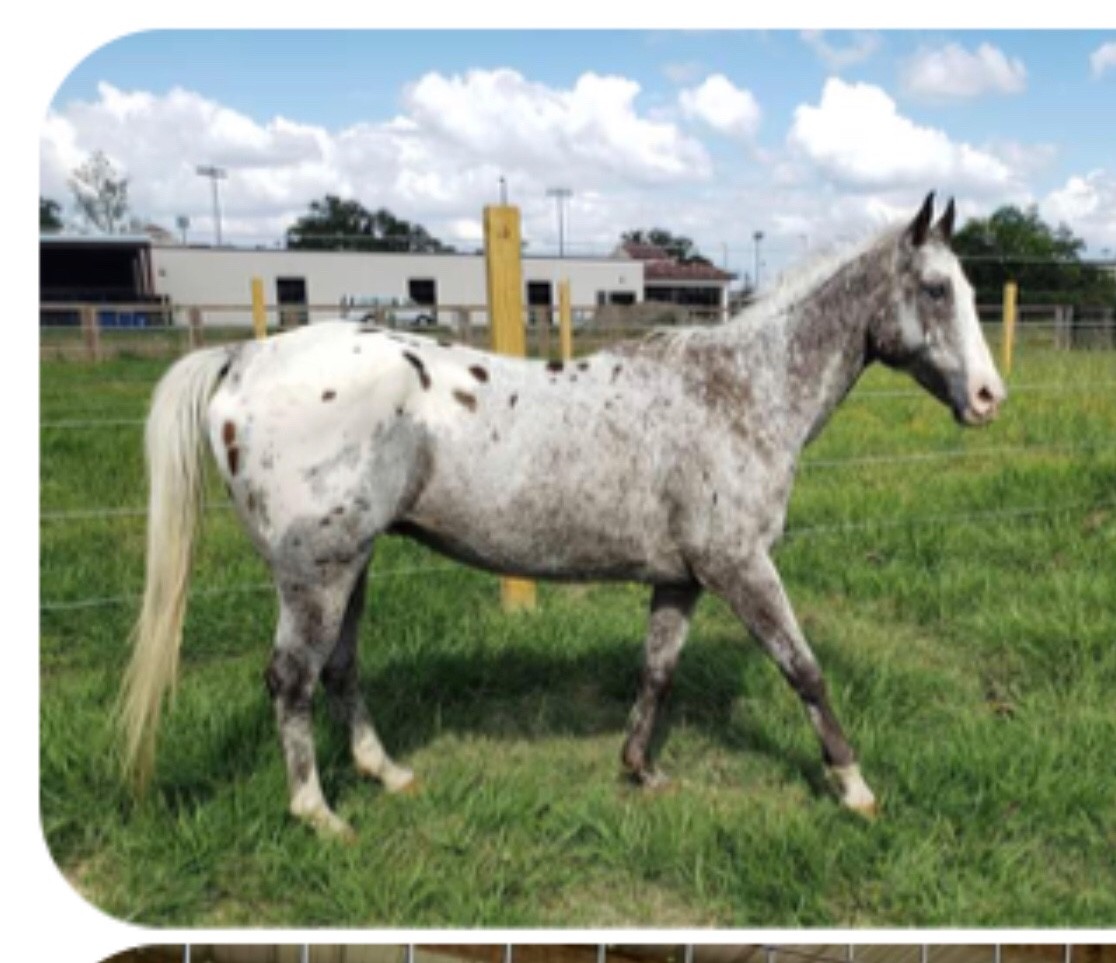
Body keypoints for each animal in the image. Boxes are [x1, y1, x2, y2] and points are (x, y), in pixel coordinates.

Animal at [119, 193, 1006, 836]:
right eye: (935, 289)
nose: (990, 397)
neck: (737, 390)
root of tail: (247, 357)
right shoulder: (740, 566)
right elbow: (805, 670)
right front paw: (855, 787)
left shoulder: (681, 578)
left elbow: (657, 671)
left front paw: (640, 768)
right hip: (317, 574)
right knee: (291, 679)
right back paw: (319, 813)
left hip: (350, 567)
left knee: (338, 670)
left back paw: (388, 773)